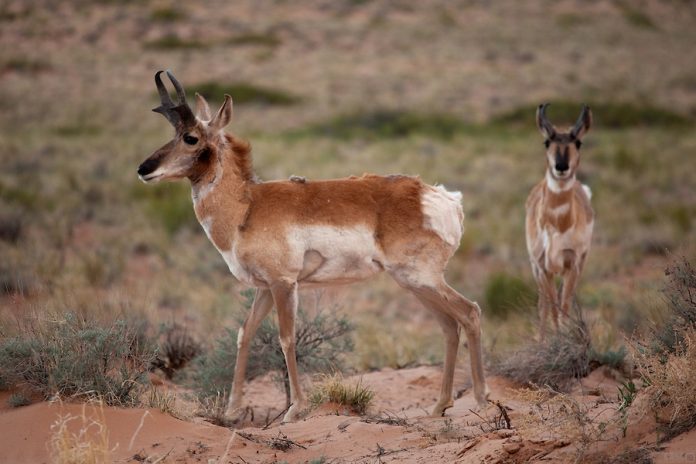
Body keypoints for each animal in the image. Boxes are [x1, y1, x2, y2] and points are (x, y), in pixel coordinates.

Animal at [137, 71, 489, 423]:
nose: (143, 169)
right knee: (449, 326)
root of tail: (442, 197)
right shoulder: (265, 288)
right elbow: (244, 333)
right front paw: (232, 410)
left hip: (421, 278)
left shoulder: (283, 284)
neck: (247, 207)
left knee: (469, 312)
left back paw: (481, 399)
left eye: (190, 137)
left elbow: (286, 337)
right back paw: (440, 406)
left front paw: (295, 409)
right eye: (174, 133)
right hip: (414, 283)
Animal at [526, 103, 594, 341]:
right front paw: (553, 339)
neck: (558, 224)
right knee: (543, 304)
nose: (561, 166)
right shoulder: (543, 266)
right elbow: (552, 306)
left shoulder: (573, 263)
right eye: (547, 141)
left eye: (578, 142)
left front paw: (564, 336)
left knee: (564, 298)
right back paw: (540, 338)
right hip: (537, 270)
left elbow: (564, 305)